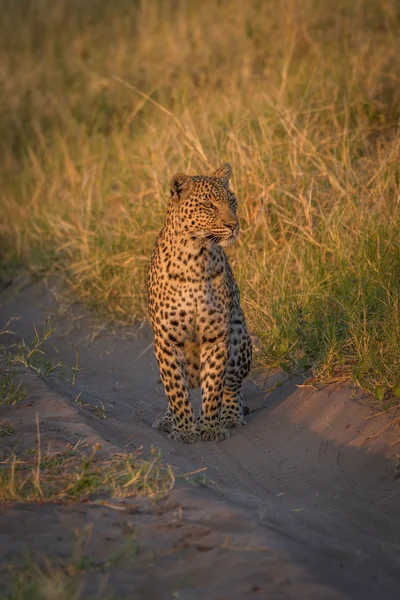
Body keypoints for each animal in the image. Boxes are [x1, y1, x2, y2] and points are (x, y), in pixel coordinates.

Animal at [148, 162, 252, 442]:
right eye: (208, 205)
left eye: (232, 201)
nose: (234, 225)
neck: (195, 255)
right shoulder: (167, 337)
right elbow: (175, 387)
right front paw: (184, 429)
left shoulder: (216, 334)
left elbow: (214, 384)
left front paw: (210, 427)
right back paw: (168, 420)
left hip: (239, 337)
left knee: (233, 385)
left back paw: (230, 416)